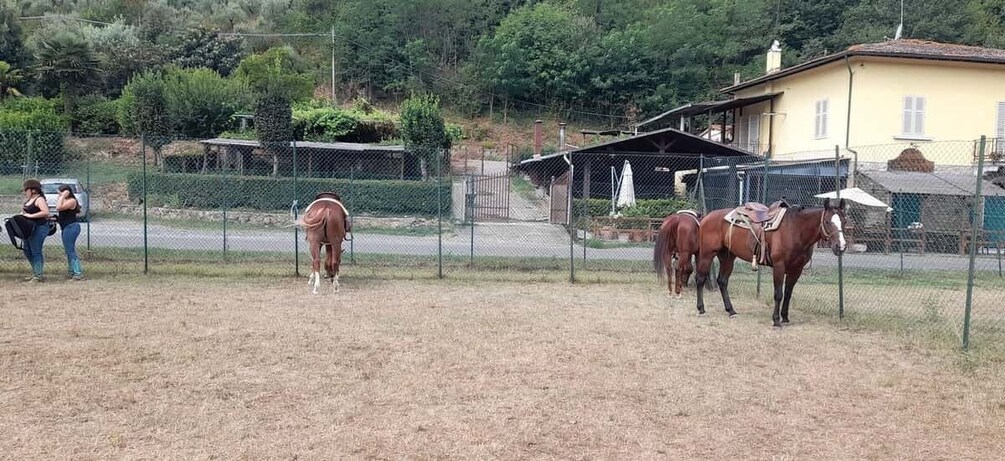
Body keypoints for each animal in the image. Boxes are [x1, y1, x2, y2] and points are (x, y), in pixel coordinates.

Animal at [695, 196, 852, 327]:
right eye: (827, 221)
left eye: (844, 221)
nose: (841, 246)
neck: (795, 230)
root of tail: (706, 217)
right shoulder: (779, 266)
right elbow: (778, 293)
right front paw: (776, 320)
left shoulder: (796, 269)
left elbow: (788, 293)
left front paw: (785, 317)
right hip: (707, 254)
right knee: (700, 279)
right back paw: (701, 309)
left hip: (727, 257)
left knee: (722, 281)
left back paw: (731, 311)